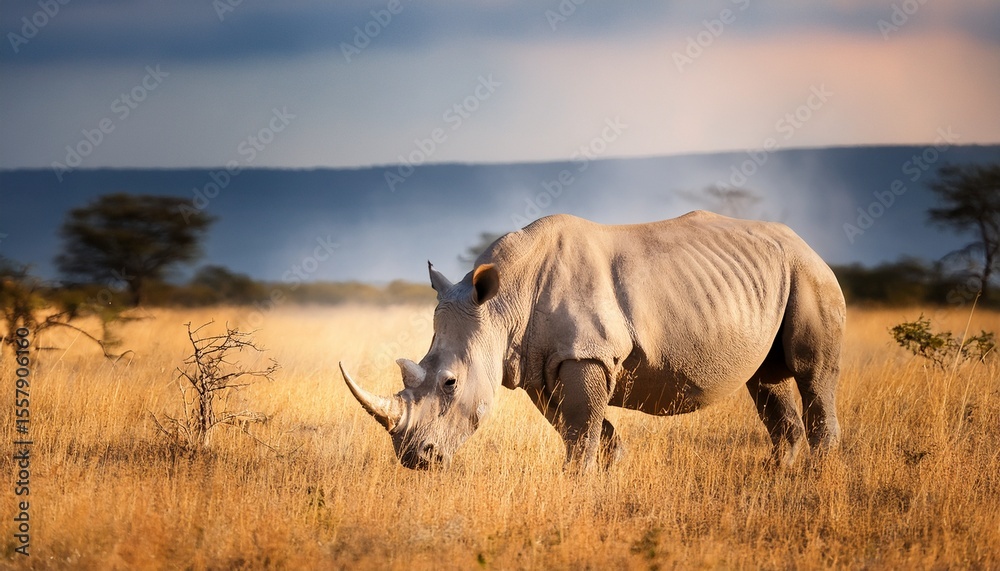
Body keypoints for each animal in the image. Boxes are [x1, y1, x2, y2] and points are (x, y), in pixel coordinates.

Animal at [340, 212, 845, 470]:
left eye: (449, 384)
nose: (414, 459)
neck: (501, 306)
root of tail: (808, 244)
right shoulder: (545, 365)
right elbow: (585, 431)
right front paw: (606, 480)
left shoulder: (588, 355)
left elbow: (581, 433)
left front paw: (576, 489)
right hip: (770, 281)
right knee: (765, 381)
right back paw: (779, 480)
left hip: (810, 275)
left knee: (813, 376)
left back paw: (816, 481)